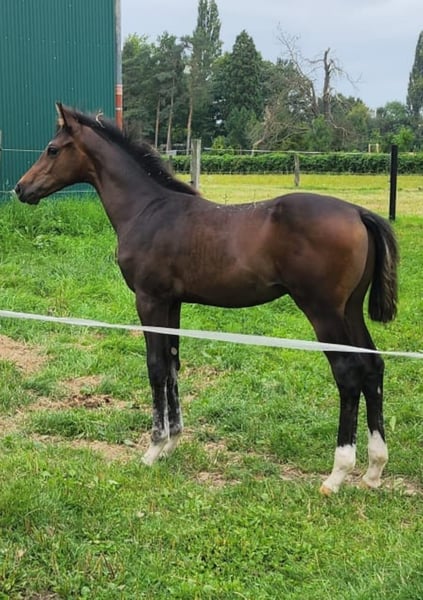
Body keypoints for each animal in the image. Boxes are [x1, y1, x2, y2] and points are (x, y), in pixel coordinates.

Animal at [14, 103, 399, 494]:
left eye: (52, 149)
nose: (21, 188)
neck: (148, 209)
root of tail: (359, 213)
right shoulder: (172, 302)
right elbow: (173, 364)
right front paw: (172, 442)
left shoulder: (149, 300)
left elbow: (156, 367)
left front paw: (153, 449)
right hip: (349, 310)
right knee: (373, 366)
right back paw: (374, 469)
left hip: (323, 311)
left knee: (348, 372)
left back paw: (337, 474)